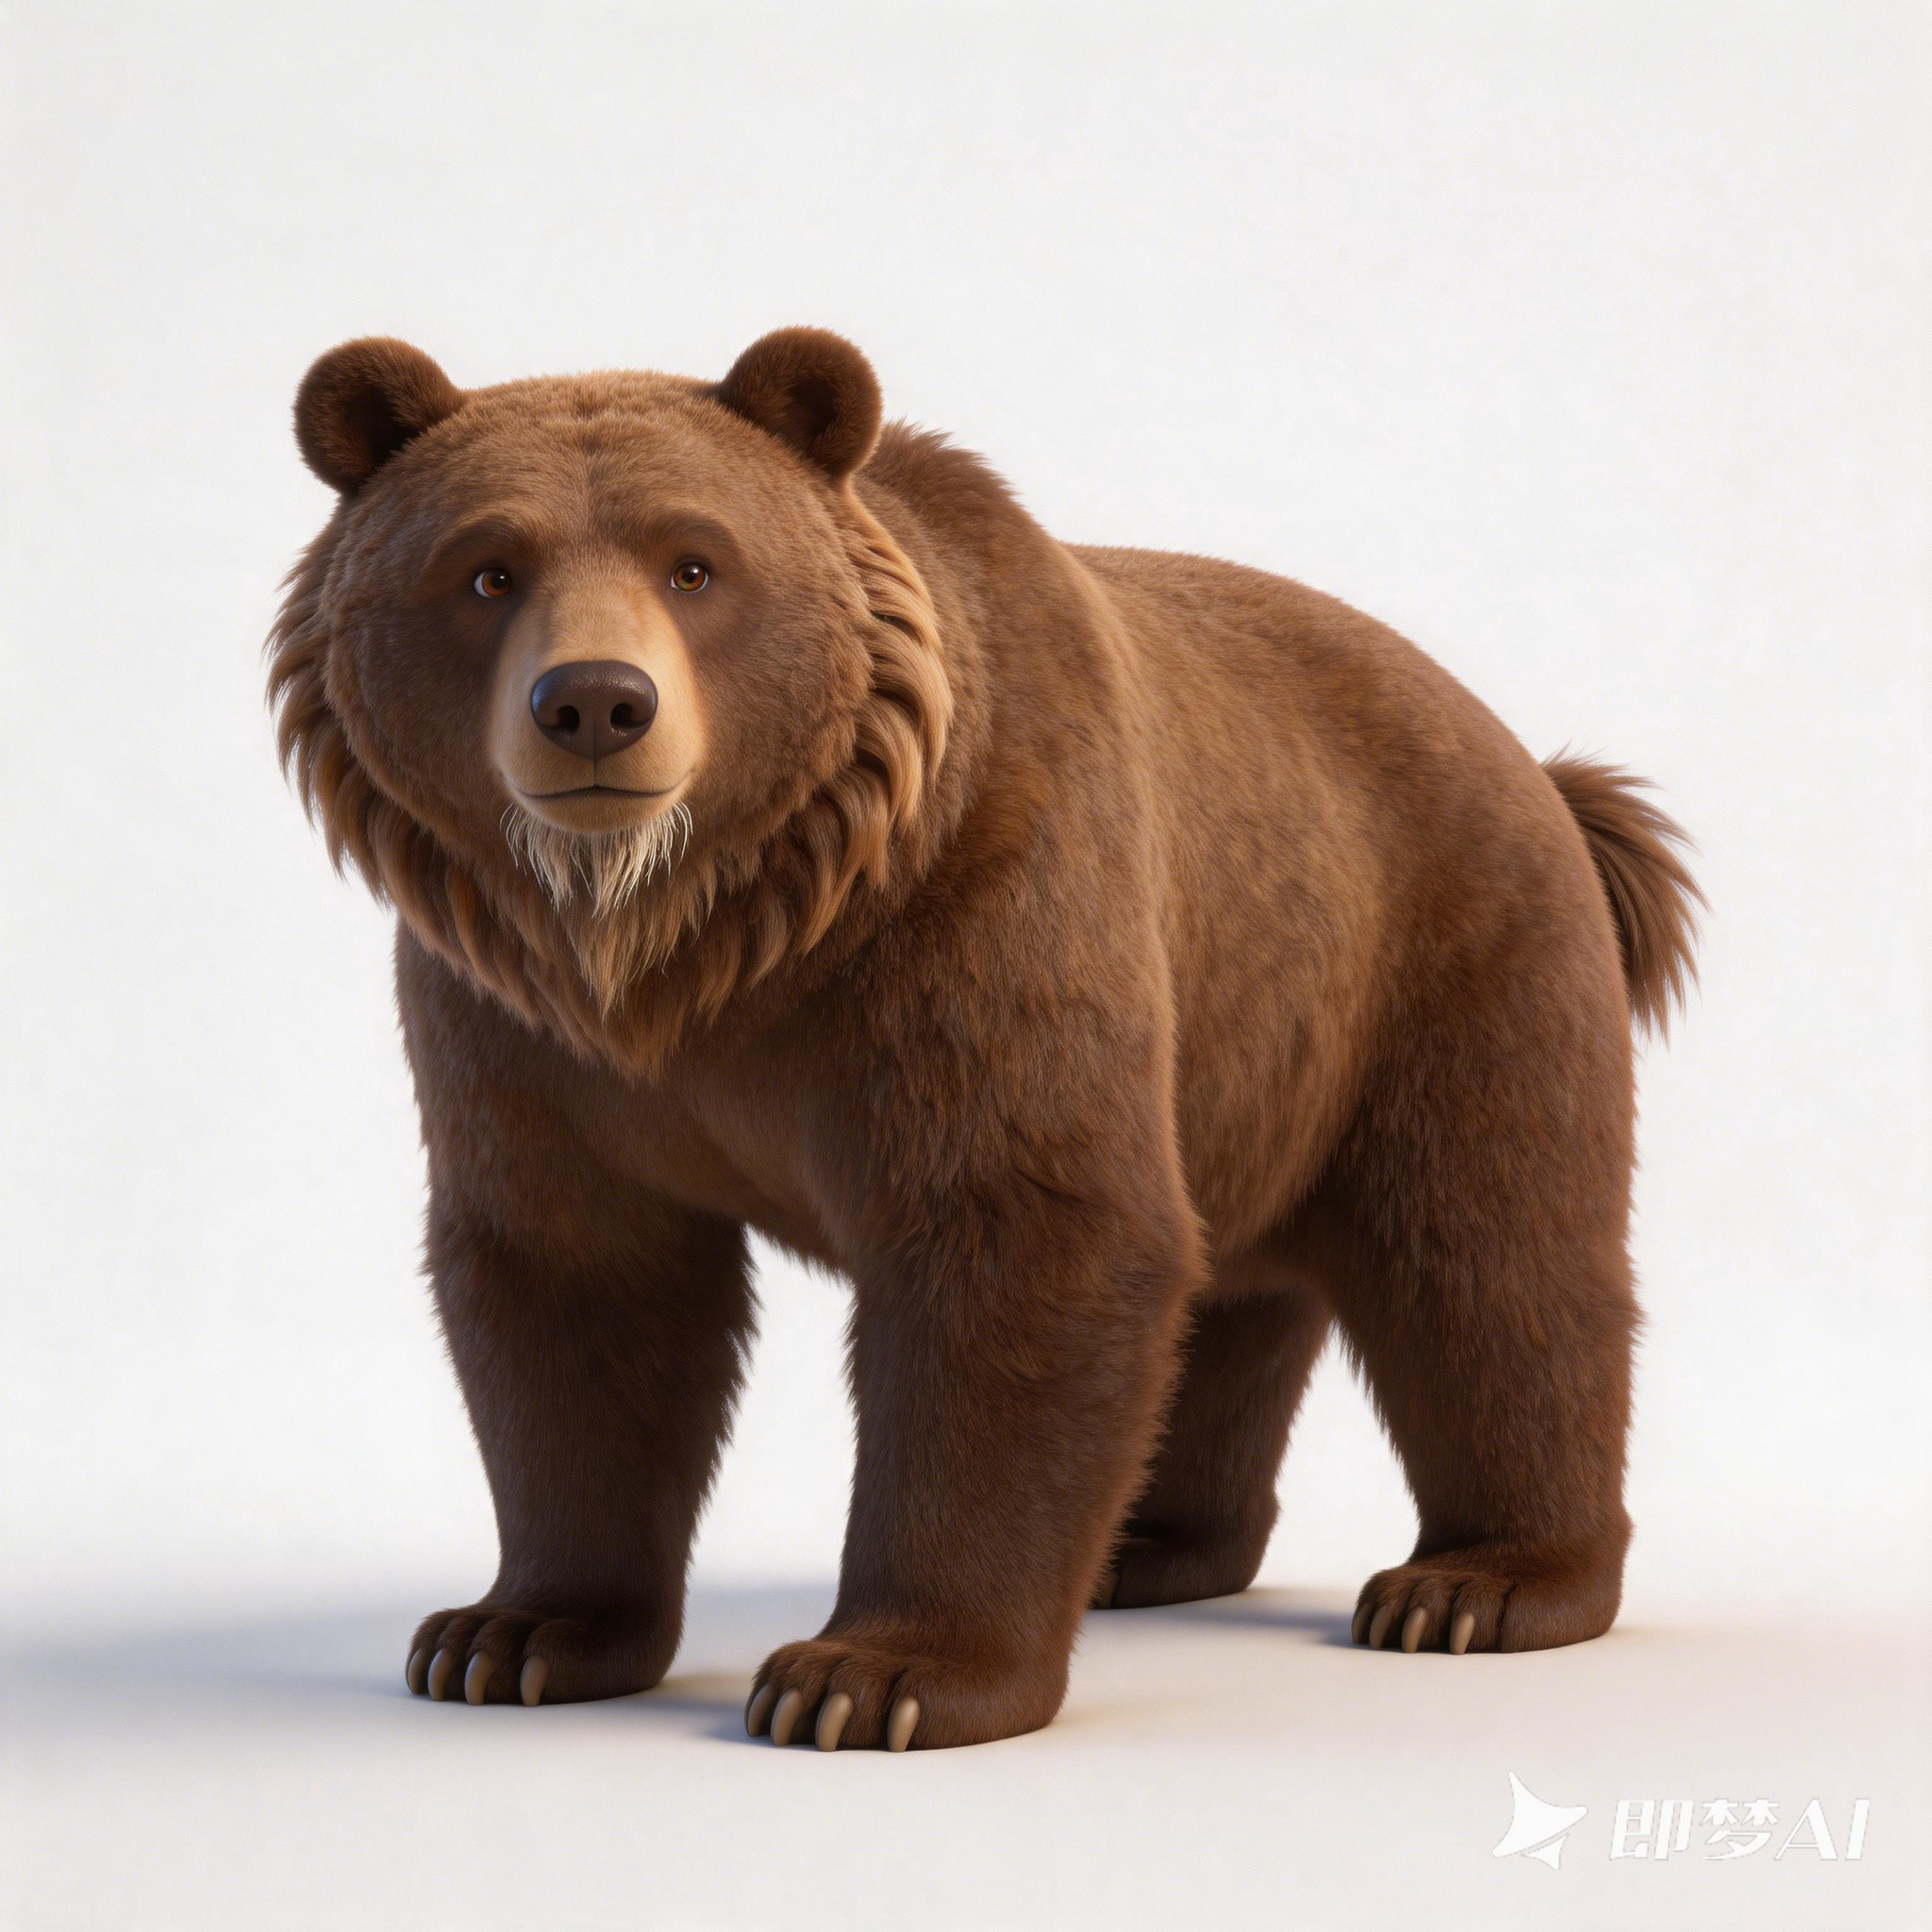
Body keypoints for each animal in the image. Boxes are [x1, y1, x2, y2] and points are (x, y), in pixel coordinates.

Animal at [269, 327, 1700, 1751]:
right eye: (487, 567)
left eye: (695, 561)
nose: (594, 705)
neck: (699, 941)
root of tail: (1535, 764)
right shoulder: (517, 1027)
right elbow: (575, 1280)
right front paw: (510, 1633)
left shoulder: (978, 904)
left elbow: (1017, 1236)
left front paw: (875, 1675)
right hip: (1252, 1045)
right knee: (1230, 1288)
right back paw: (1147, 1546)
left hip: (1444, 949)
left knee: (1485, 1254)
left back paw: (1478, 1583)